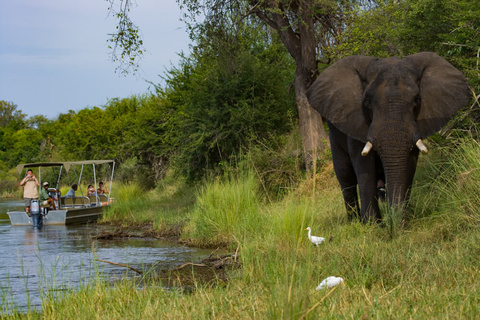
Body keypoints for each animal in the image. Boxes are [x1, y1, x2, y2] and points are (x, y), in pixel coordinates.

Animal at [308, 52, 468, 222]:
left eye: (417, 99)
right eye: (368, 101)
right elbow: (364, 166)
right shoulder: (356, 119)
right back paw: (353, 221)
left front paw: (402, 219)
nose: (393, 222)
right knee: (345, 175)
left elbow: (409, 166)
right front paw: (373, 225)